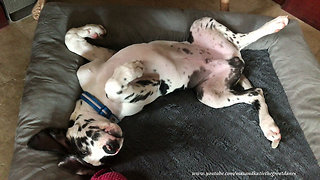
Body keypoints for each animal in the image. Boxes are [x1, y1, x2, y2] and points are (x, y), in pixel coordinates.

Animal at [28, 15, 288, 174]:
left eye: (82, 147)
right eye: (96, 158)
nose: (113, 147)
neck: (98, 98)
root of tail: (234, 60)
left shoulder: (100, 59)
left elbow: (71, 40)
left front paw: (92, 31)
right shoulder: (141, 95)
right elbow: (119, 86)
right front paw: (132, 71)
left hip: (202, 23)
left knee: (244, 39)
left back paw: (275, 24)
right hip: (210, 95)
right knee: (256, 92)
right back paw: (270, 127)